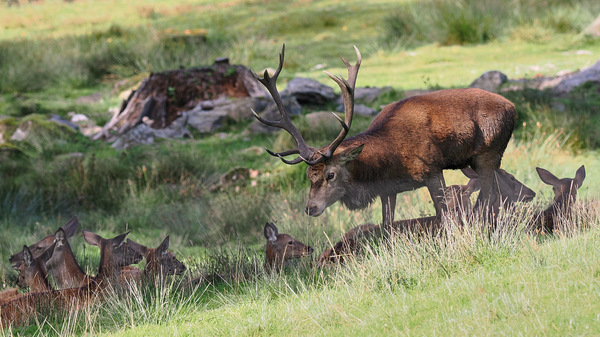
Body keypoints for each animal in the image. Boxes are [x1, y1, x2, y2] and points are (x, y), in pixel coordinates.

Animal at [252, 45, 516, 231]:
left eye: (331, 174)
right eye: (308, 176)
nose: (310, 208)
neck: (388, 161)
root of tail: (512, 107)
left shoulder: (432, 170)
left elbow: (445, 217)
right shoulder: (387, 190)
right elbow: (386, 226)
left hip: (489, 152)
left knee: (489, 196)